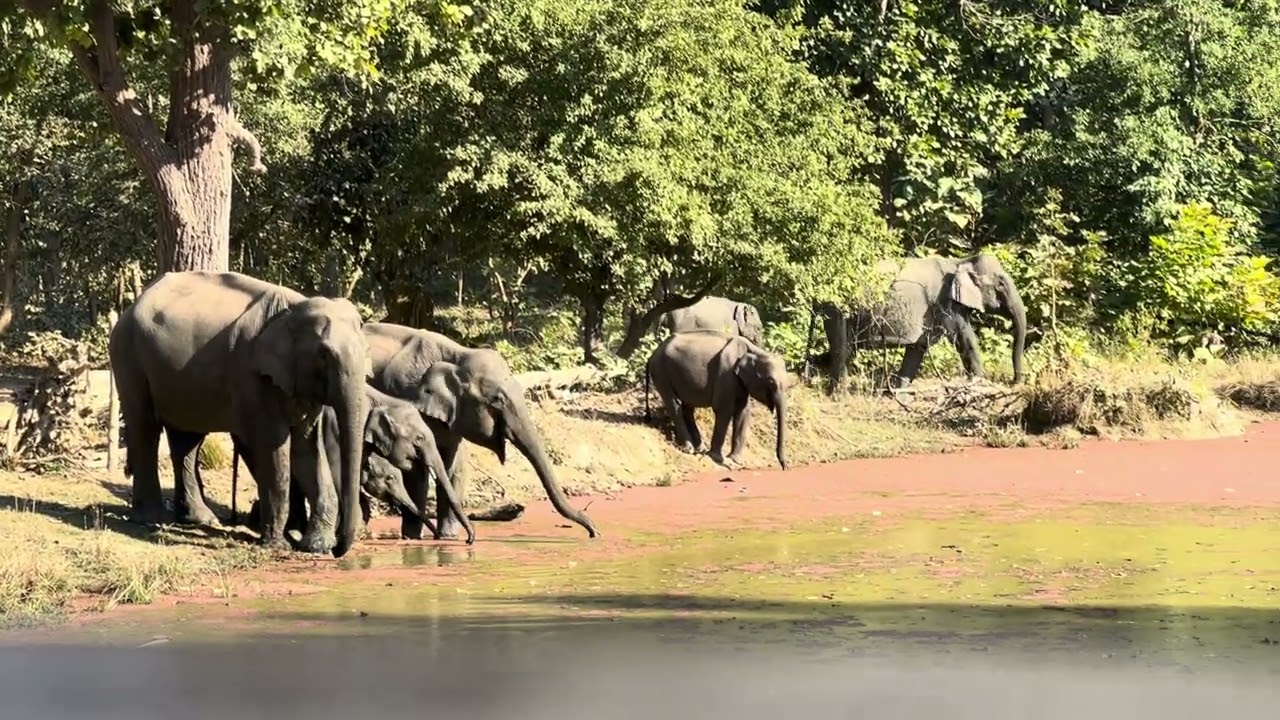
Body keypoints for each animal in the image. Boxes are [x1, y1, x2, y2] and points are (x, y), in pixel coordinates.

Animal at [109, 270, 371, 558]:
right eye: (324, 354)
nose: (339, 550)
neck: (292, 309)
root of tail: (133, 305)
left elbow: (307, 450)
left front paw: (315, 546)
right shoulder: (253, 377)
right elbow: (273, 448)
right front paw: (278, 544)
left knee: (186, 440)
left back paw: (200, 519)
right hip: (129, 358)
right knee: (145, 426)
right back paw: (150, 519)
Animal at [362, 322, 599, 541]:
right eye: (498, 400)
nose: (593, 532)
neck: (458, 354)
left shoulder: (452, 416)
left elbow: (454, 466)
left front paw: (448, 538)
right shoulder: (404, 394)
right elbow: (416, 470)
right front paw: (413, 539)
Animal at [644, 331, 788, 470]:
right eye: (771, 382)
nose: (784, 466)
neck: (755, 350)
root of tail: (652, 355)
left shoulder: (740, 382)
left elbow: (743, 412)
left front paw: (735, 460)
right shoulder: (725, 374)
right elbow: (724, 409)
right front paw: (718, 458)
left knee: (687, 407)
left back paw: (700, 449)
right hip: (661, 372)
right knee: (674, 405)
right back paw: (689, 449)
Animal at [806, 253, 1027, 395]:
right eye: (1000, 285)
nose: (1014, 383)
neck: (960, 261)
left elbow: (919, 347)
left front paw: (899, 394)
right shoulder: (945, 303)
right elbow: (964, 338)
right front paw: (979, 385)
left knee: (842, 349)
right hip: (838, 308)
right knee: (842, 348)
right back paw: (838, 396)